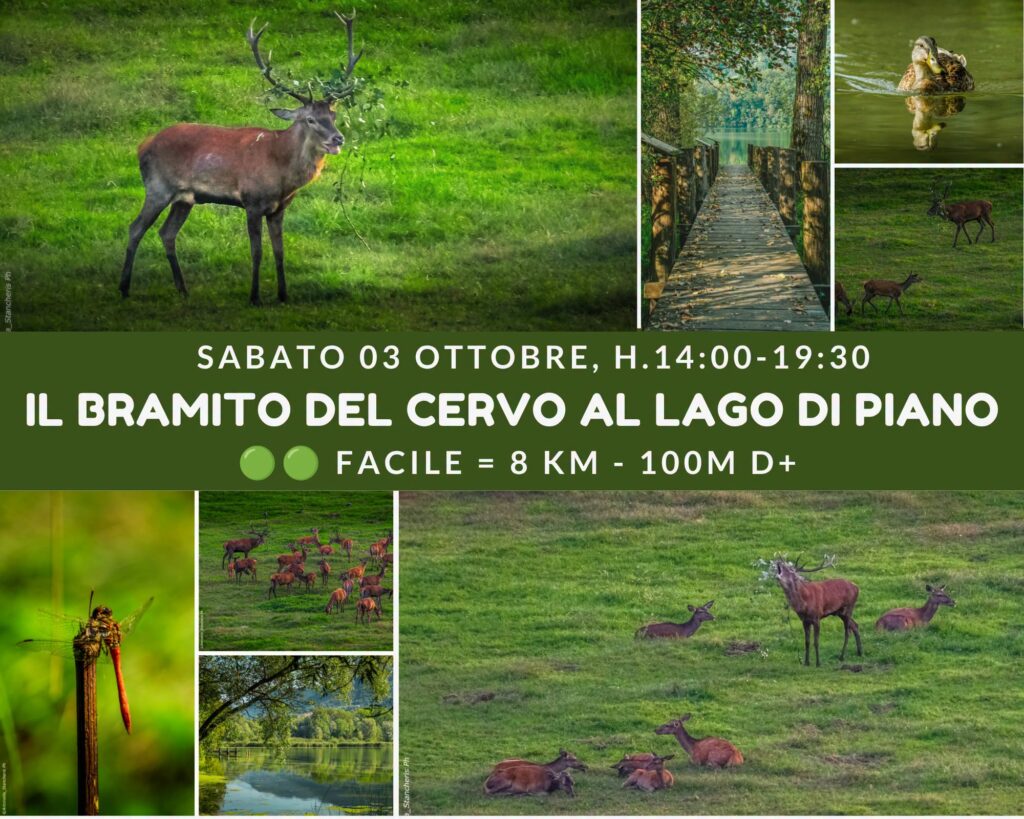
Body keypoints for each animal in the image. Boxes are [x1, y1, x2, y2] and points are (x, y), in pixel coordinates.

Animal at [120, 13, 363, 305]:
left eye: (333, 115)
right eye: (310, 119)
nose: (338, 139)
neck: (282, 175)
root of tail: (142, 145)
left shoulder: (279, 208)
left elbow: (280, 251)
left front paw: (283, 295)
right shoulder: (252, 201)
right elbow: (257, 251)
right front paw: (255, 297)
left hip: (184, 198)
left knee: (166, 233)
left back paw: (182, 289)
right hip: (158, 187)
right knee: (135, 228)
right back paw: (124, 288)